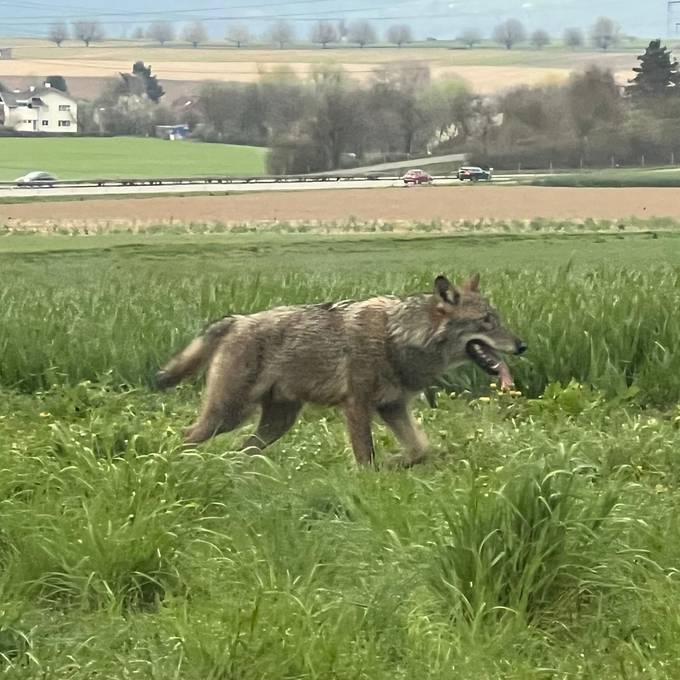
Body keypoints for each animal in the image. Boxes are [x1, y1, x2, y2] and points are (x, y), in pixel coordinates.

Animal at [155, 274, 524, 464]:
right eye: (487, 322)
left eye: (497, 319)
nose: (522, 346)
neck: (397, 336)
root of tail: (236, 320)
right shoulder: (357, 405)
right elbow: (365, 455)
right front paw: (370, 482)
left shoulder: (393, 407)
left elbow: (420, 448)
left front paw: (396, 463)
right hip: (229, 414)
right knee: (186, 436)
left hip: (276, 422)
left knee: (242, 448)